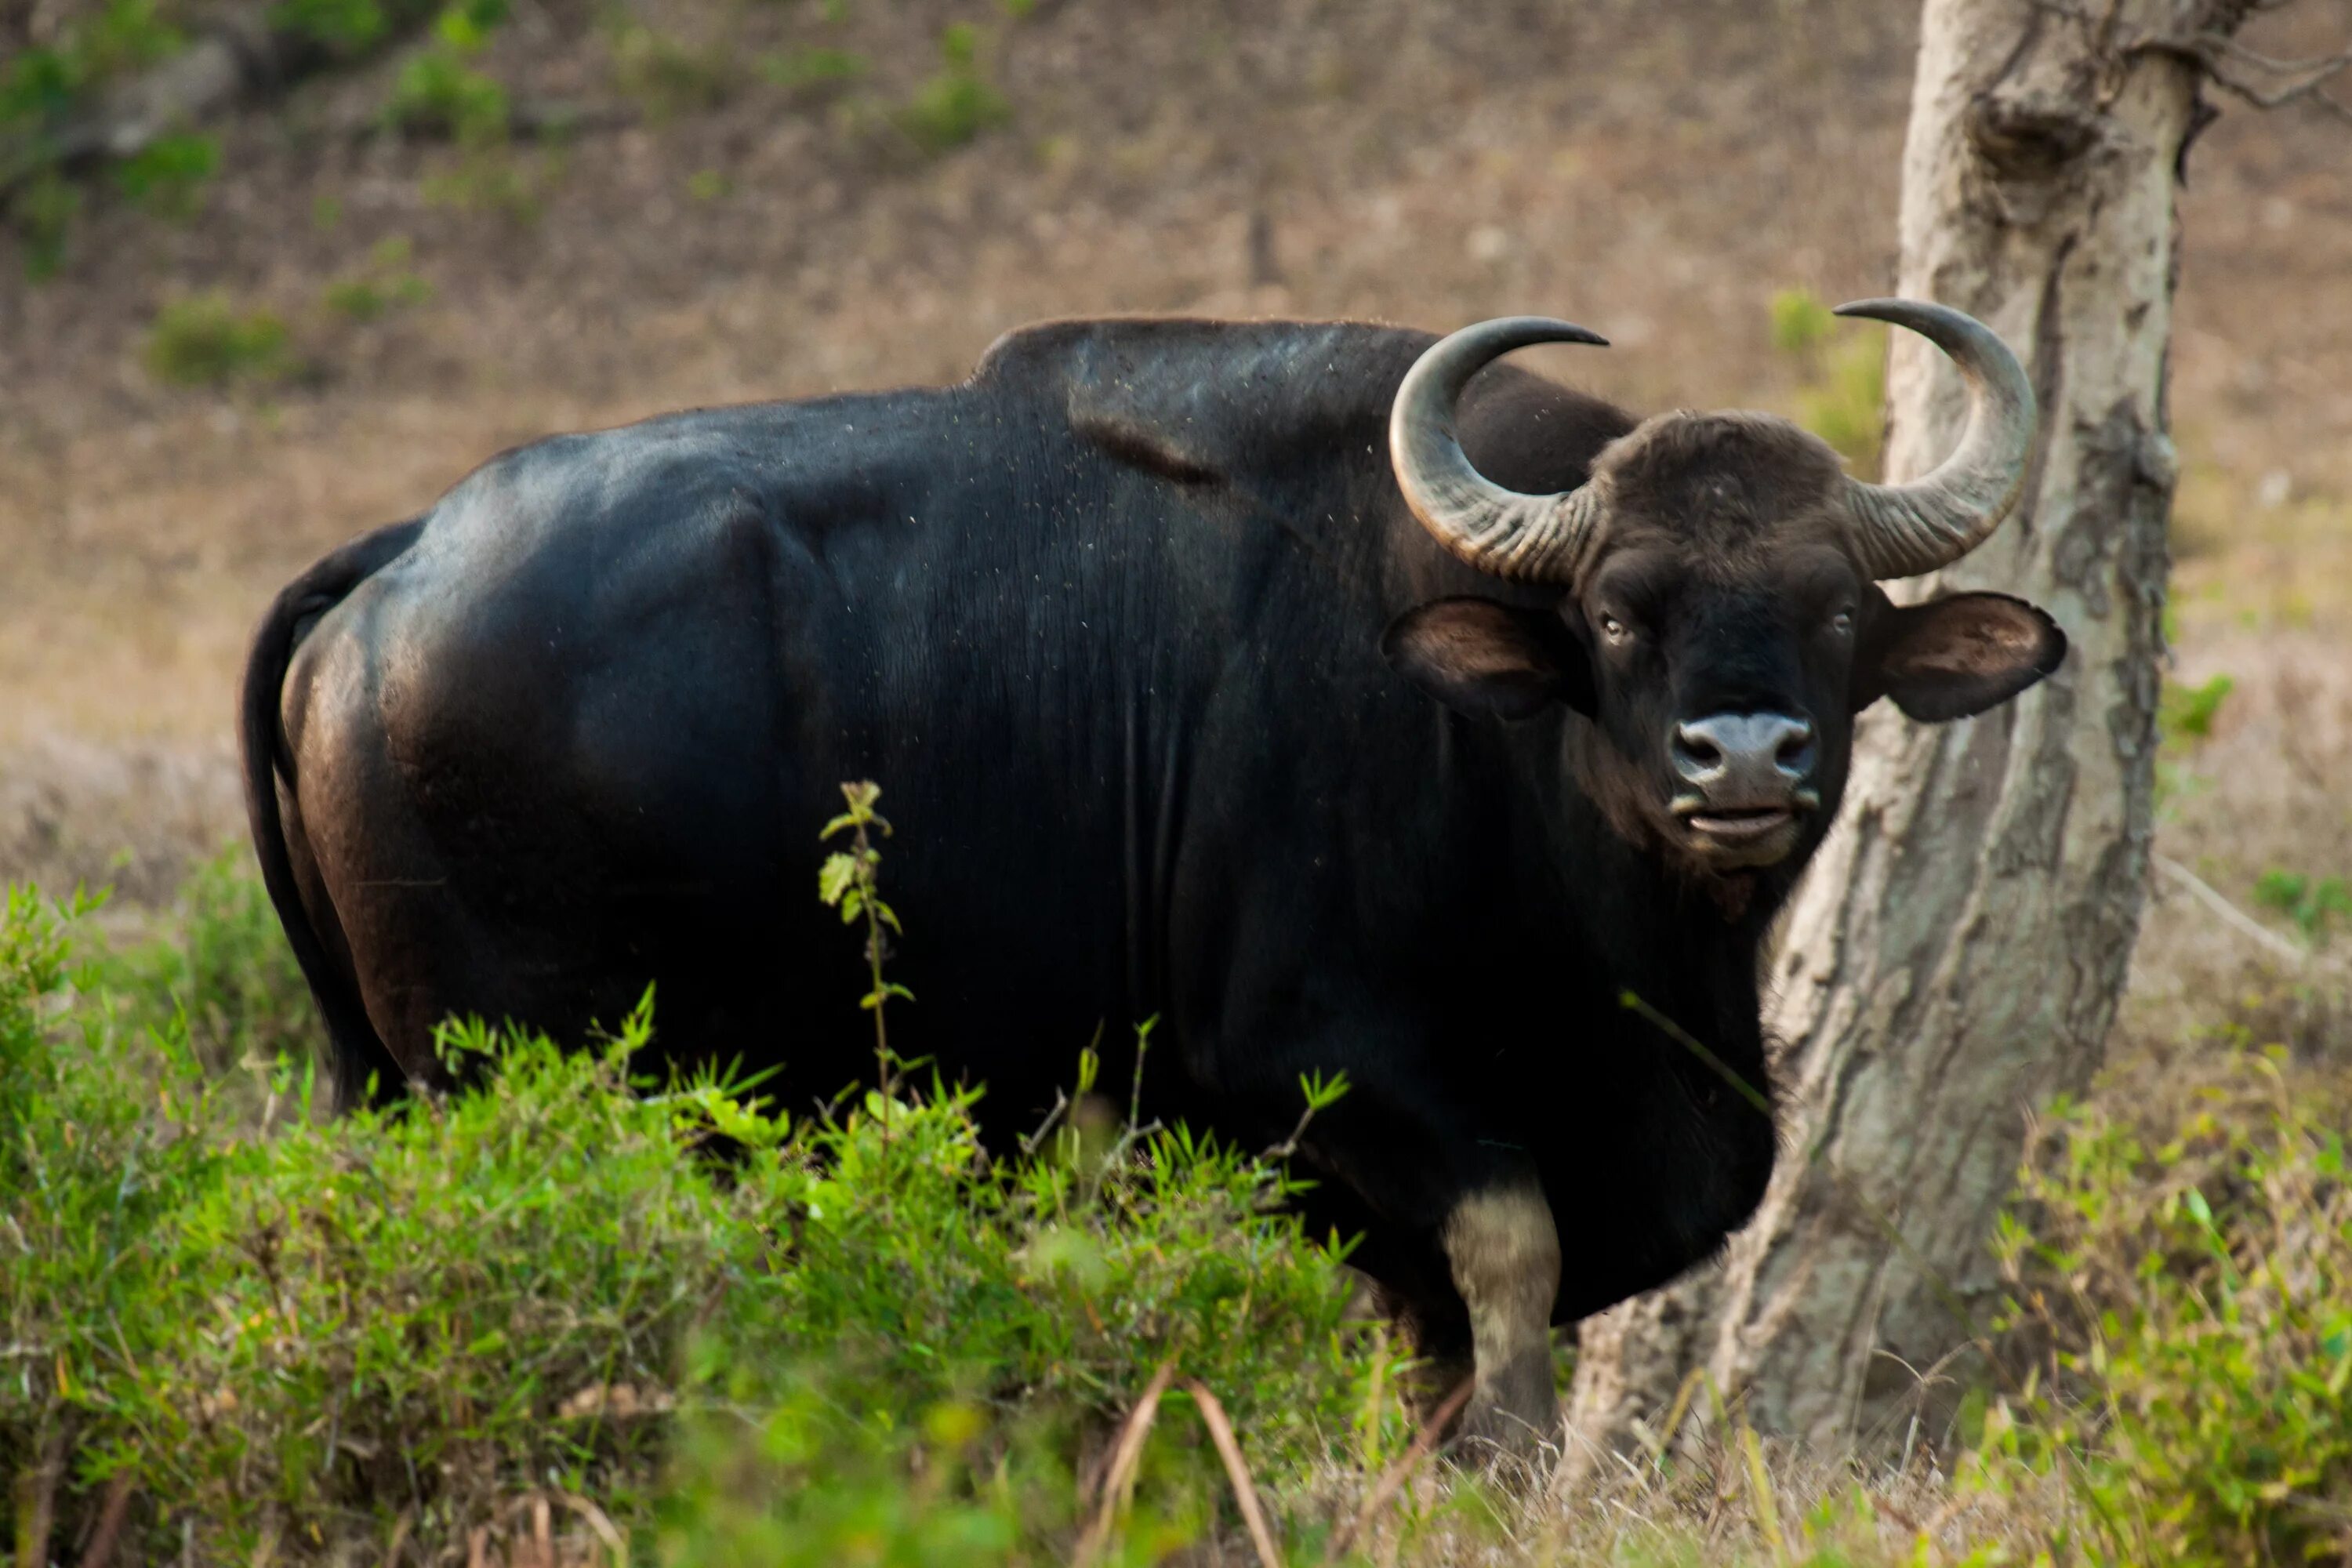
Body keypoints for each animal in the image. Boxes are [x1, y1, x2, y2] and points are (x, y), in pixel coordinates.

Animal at [248, 312, 2070, 1457]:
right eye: (1619, 610)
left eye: (1835, 610)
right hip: (550, 1093)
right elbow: (1510, 1275)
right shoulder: (1327, 1077)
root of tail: (402, 560)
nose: (1742, 759)